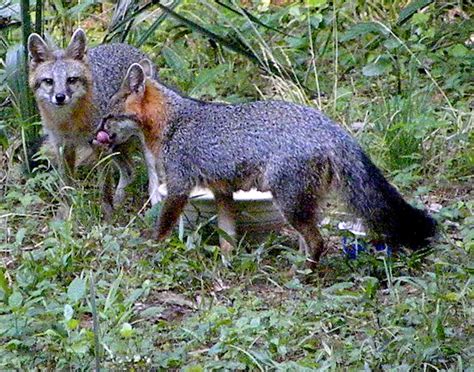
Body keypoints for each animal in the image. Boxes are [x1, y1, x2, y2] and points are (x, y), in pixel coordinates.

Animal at [26, 28, 156, 208]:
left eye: (71, 80)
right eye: (48, 81)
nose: (60, 97)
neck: (69, 122)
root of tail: (128, 46)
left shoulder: (98, 146)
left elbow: (105, 188)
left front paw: (107, 212)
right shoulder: (63, 146)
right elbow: (66, 185)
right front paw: (67, 210)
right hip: (116, 145)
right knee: (129, 171)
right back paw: (119, 202)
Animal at [94, 61, 436, 264]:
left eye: (108, 116)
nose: (97, 133)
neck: (174, 121)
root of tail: (333, 129)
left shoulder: (179, 186)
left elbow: (163, 226)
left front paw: (152, 248)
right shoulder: (222, 192)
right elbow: (227, 234)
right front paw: (227, 263)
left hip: (289, 203)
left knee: (318, 242)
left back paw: (304, 274)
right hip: (302, 204)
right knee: (310, 238)